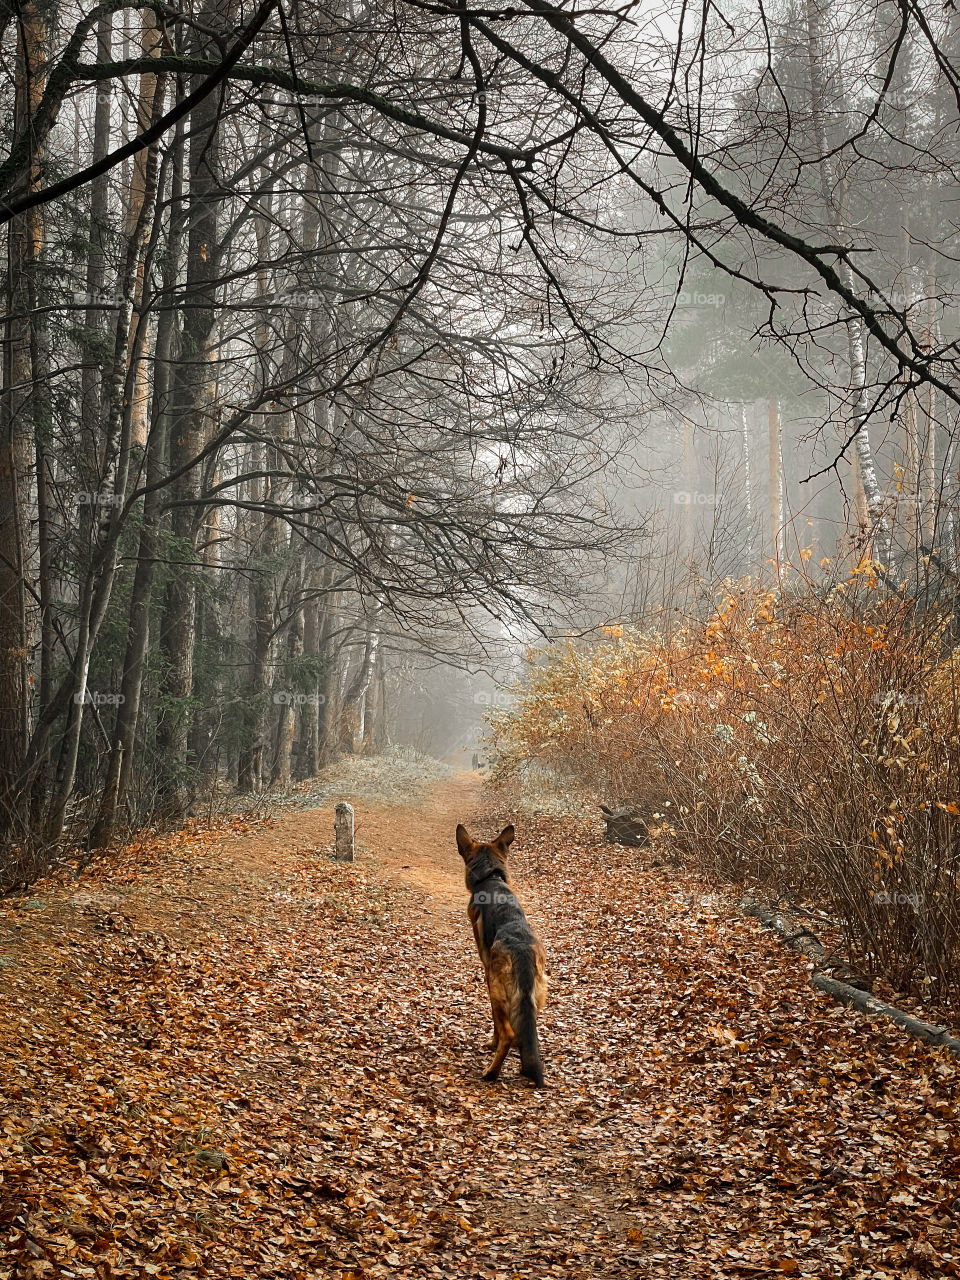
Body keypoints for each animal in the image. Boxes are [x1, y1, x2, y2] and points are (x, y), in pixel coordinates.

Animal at [458, 824, 547, 1085]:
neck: (492, 879)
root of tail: (522, 951)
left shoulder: (487, 970)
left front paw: (492, 1042)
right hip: (532, 1000)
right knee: (526, 1032)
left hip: (499, 991)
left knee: (508, 1033)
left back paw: (491, 1072)